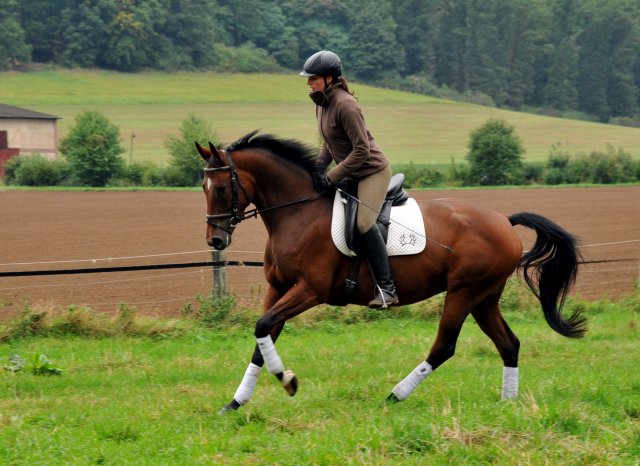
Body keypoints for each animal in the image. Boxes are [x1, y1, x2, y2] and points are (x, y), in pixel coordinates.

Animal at [194, 131, 584, 412]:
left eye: (223, 187)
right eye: (203, 187)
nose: (215, 239)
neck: (297, 214)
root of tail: (503, 219)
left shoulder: (309, 291)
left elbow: (263, 328)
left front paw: (288, 380)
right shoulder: (278, 289)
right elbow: (262, 341)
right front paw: (236, 402)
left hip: (464, 292)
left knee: (444, 346)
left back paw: (395, 395)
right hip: (484, 297)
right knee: (508, 344)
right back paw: (508, 403)